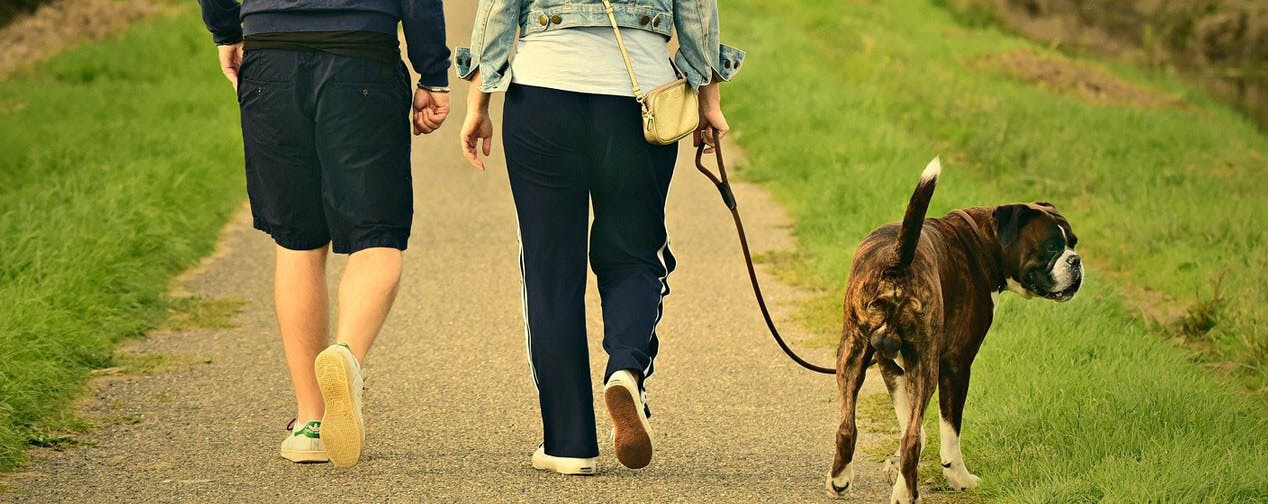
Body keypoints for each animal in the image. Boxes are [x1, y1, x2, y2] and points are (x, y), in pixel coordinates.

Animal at [826, 156, 1085, 497]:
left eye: (1073, 242)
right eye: (1052, 247)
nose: (1076, 260)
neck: (983, 241)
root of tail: (897, 263)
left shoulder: (889, 363)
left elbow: (912, 425)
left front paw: (899, 472)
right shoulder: (956, 364)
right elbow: (948, 433)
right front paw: (958, 477)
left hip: (852, 353)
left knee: (848, 426)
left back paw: (840, 479)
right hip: (926, 364)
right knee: (909, 440)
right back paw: (907, 496)